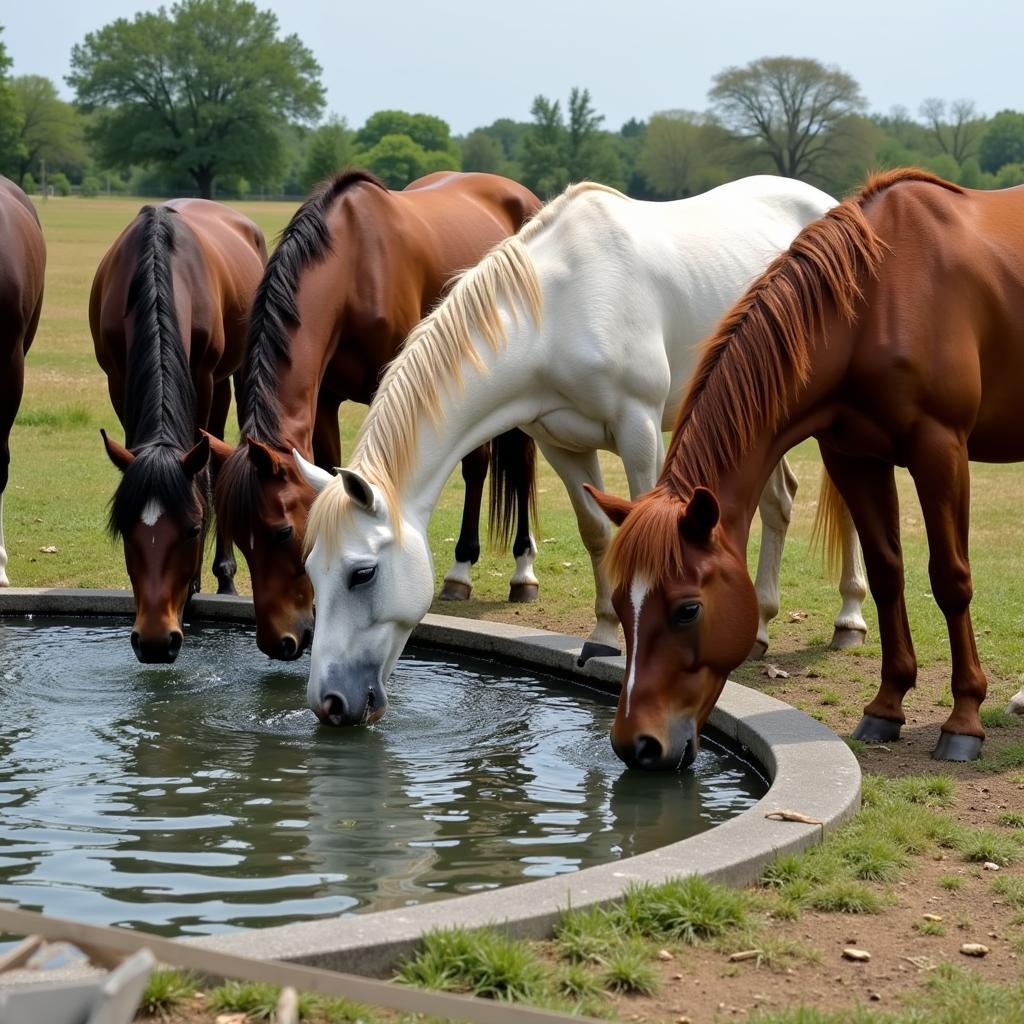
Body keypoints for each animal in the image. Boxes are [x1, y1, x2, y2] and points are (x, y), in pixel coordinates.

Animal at [91, 200, 266, 663]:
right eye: (124, 528)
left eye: (191, 529)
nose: (155, 641)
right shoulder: (117, 377)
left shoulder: (202, 376)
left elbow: (204, 475)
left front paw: (192, 588)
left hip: (231, 374)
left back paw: (225, 575)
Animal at [208, 171, 544, 659]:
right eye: (240, 538)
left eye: (282, 533)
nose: (280, 643)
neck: (353, 269)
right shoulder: (326, 404)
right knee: (478, 467)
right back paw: (460, 574)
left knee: (516, 465)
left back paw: (519, 571)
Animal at [294, 176, 864, 724]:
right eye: (311, 569)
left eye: (362, 573)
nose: (329, 703)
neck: (558, 310)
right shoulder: (559, 445)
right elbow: (597, 534)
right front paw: (605, 637)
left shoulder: (639, 430)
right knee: (780, 501)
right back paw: (762, 625)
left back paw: (849, 619)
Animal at [585, 169, 1024, 770]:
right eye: (621, 607)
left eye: (687, 610)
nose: (636, 746)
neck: (879, 300)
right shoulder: (854, 457)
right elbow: (886, 573)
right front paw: (886, 707)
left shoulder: (941, 450)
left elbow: (950, 579)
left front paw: (963, 721)